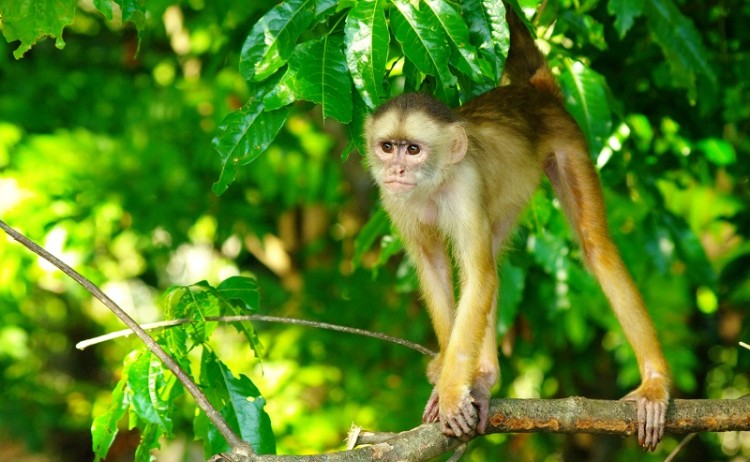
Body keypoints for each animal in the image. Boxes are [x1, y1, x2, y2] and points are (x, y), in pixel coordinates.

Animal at [363, 3, 669, 451]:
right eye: (388, 147)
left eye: (414, 150)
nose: (397, 169)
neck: (434, 183)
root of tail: (533, 93)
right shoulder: (393, 199)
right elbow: (438, 269)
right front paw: (452, 380)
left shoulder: (465, 186)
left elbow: (477, 279)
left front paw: (452, 392)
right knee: (491, 255)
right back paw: (484, 376)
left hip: (568, 143)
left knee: (594, 248)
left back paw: (655, 385)